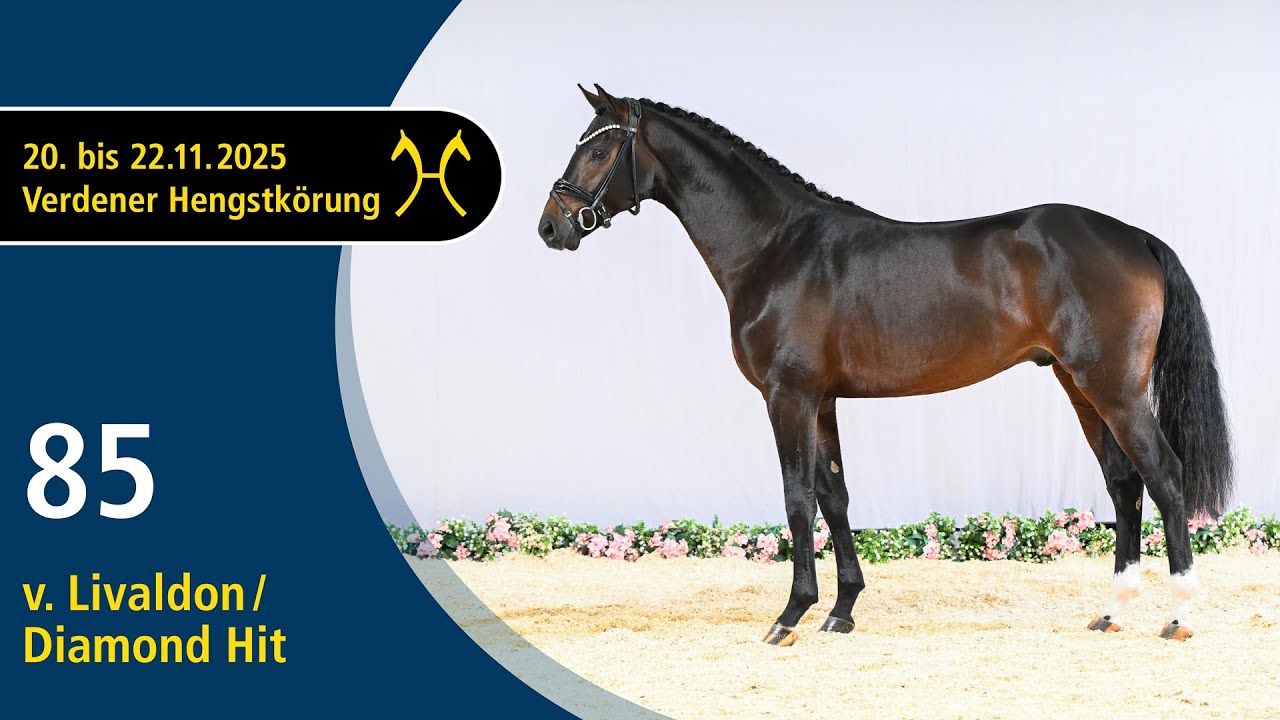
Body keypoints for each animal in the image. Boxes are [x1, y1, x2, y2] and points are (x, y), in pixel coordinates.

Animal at [538, 84, 1233, 645]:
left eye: (598, 150)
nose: (551, 227)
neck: (776, 247)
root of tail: (1135, 236)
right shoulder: (821, 400)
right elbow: (834, 496)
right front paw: (841, 610)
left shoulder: (787, 396)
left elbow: (797, 498)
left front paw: (790, 616)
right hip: (1081, 387)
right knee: (1124, 484)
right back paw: (1112, 611)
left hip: (1115, 390)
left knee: (1165, 476)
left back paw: (1178, 615)